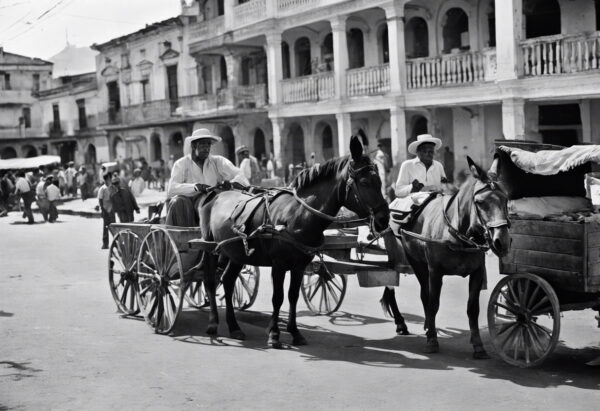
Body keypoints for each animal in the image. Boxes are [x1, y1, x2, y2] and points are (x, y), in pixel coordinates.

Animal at [200, 136, 390, 348]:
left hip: (236, 252)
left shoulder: (300, 265)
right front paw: (274, 334)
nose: (384, 219)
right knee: (209, 281)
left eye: (380, 180)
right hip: (209, 247)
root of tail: (216, 192)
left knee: (227, 281)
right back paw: (213, 323)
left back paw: (234, 327)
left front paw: (295, 332)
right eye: (364, 182)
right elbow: (278, 297)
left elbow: (293, 296)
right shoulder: (279, 264)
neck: (298, 215)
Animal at [382, 156, 508, 358]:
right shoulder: (435, 272)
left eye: (506, 199)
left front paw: (478, 345)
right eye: (480, 202)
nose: (501, 241)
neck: (459, 234)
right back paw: (411, 325)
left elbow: (473, 309)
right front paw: (432, 340)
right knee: (419, 294)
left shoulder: (478, 272)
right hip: (415, 262)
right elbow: (433, 303)